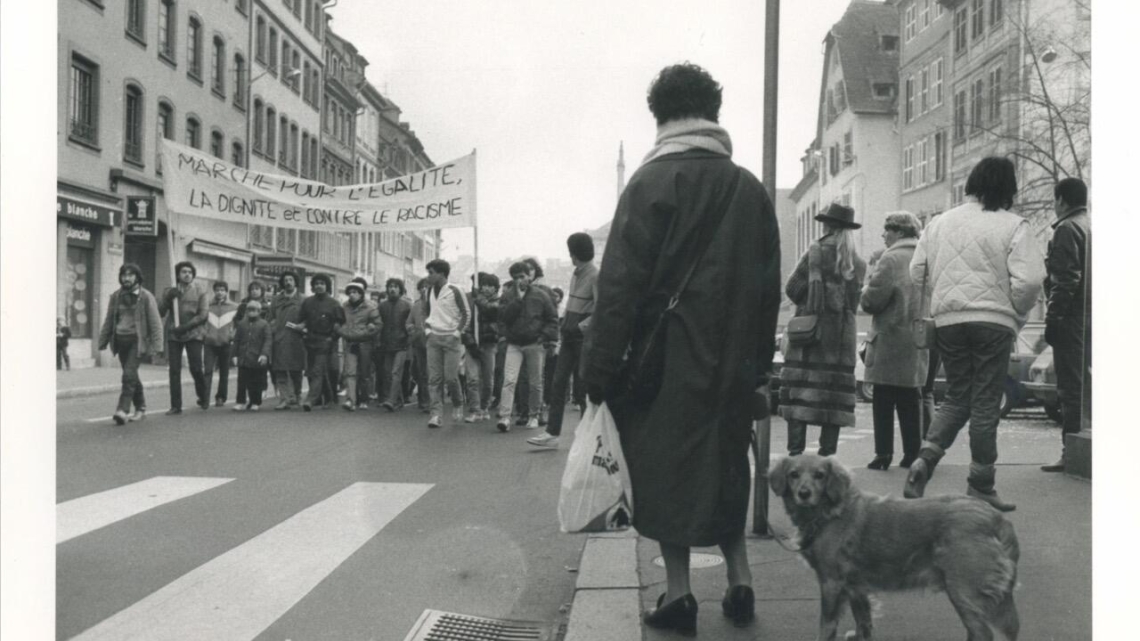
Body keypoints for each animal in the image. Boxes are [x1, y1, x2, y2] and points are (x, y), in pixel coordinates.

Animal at [770, 453, 1021, 638]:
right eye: (793, 475)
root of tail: (995, 517)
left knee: (983, 634)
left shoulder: (831, 583)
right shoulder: (855, 587)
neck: (830, 512)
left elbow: (826, 627)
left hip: (964, 592)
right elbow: (863, 623)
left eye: (820, 475)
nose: (804, 493)